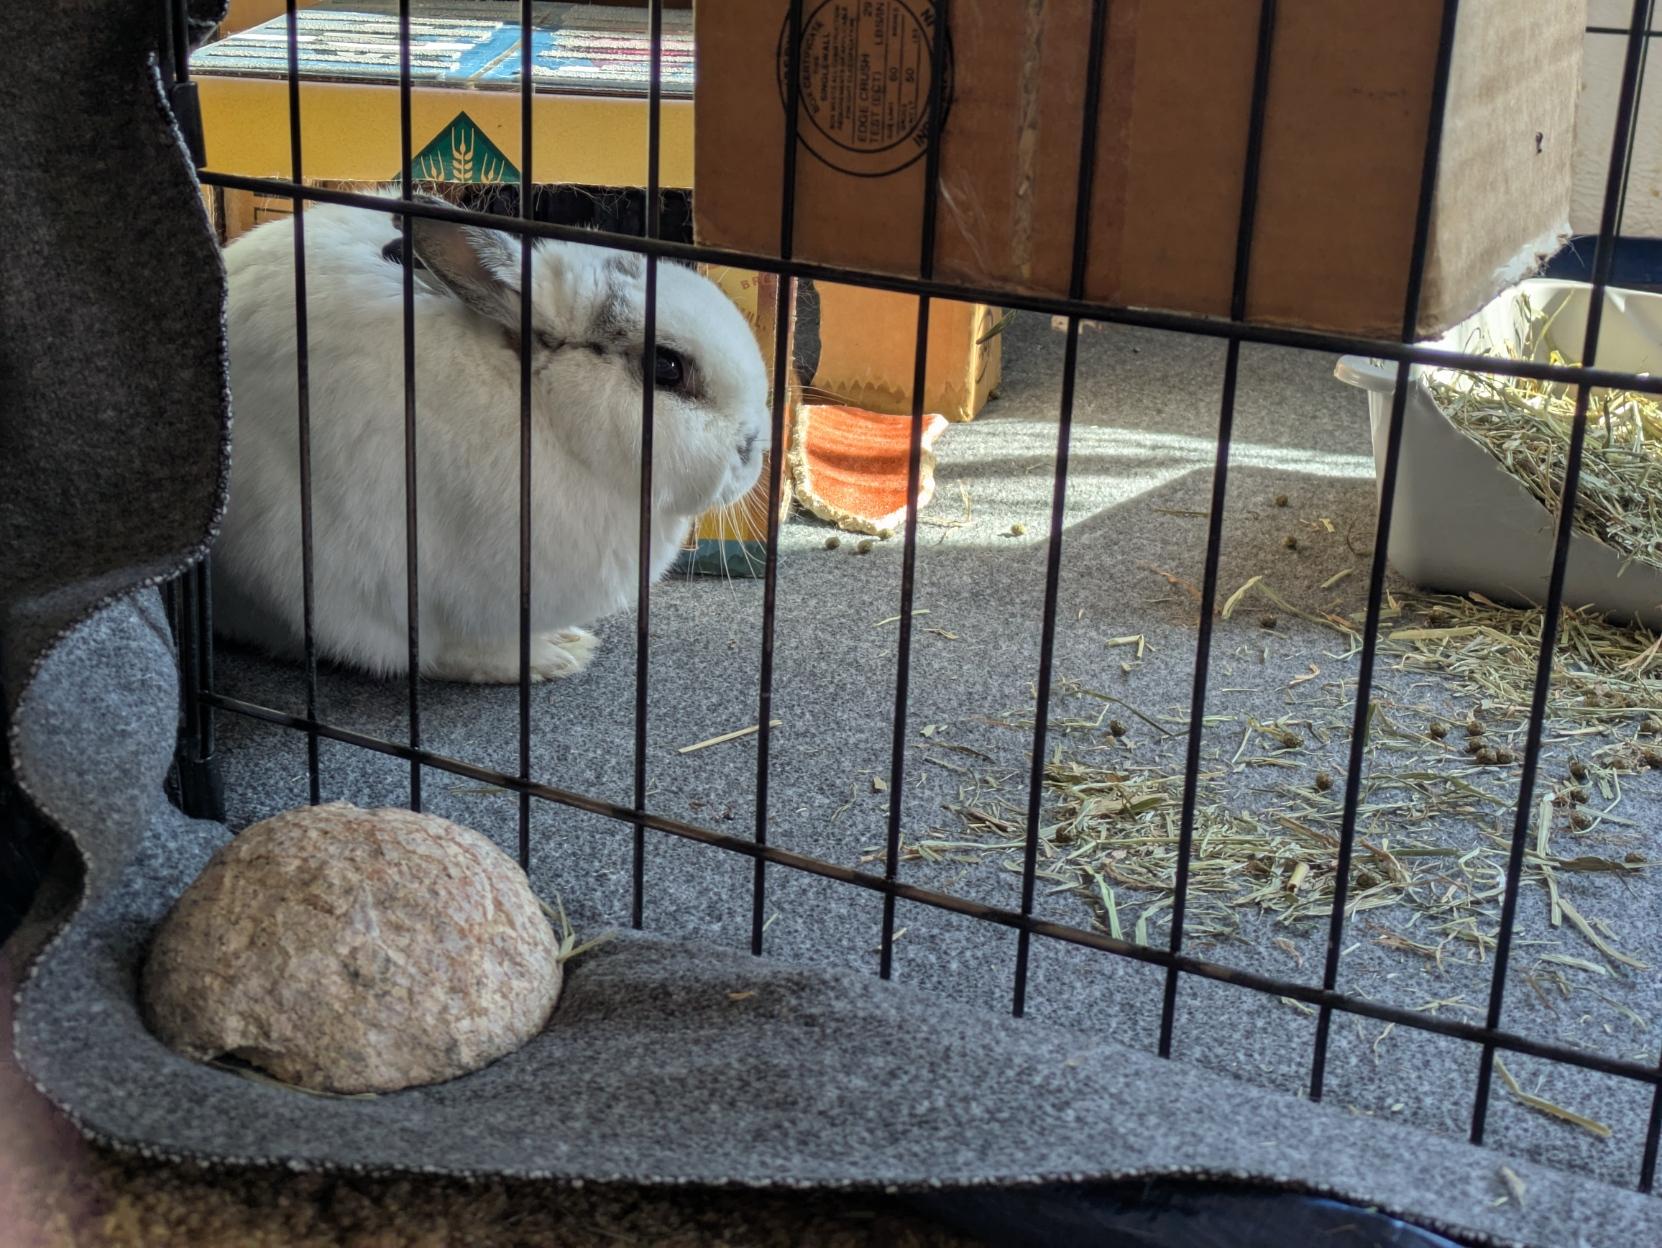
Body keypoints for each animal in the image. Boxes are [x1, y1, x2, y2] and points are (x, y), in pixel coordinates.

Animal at [211, 193, 771, 682]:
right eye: (666, 367)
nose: (754, 453)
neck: (542, 411)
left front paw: (566, 639)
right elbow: (450, 648)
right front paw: (555, 657)